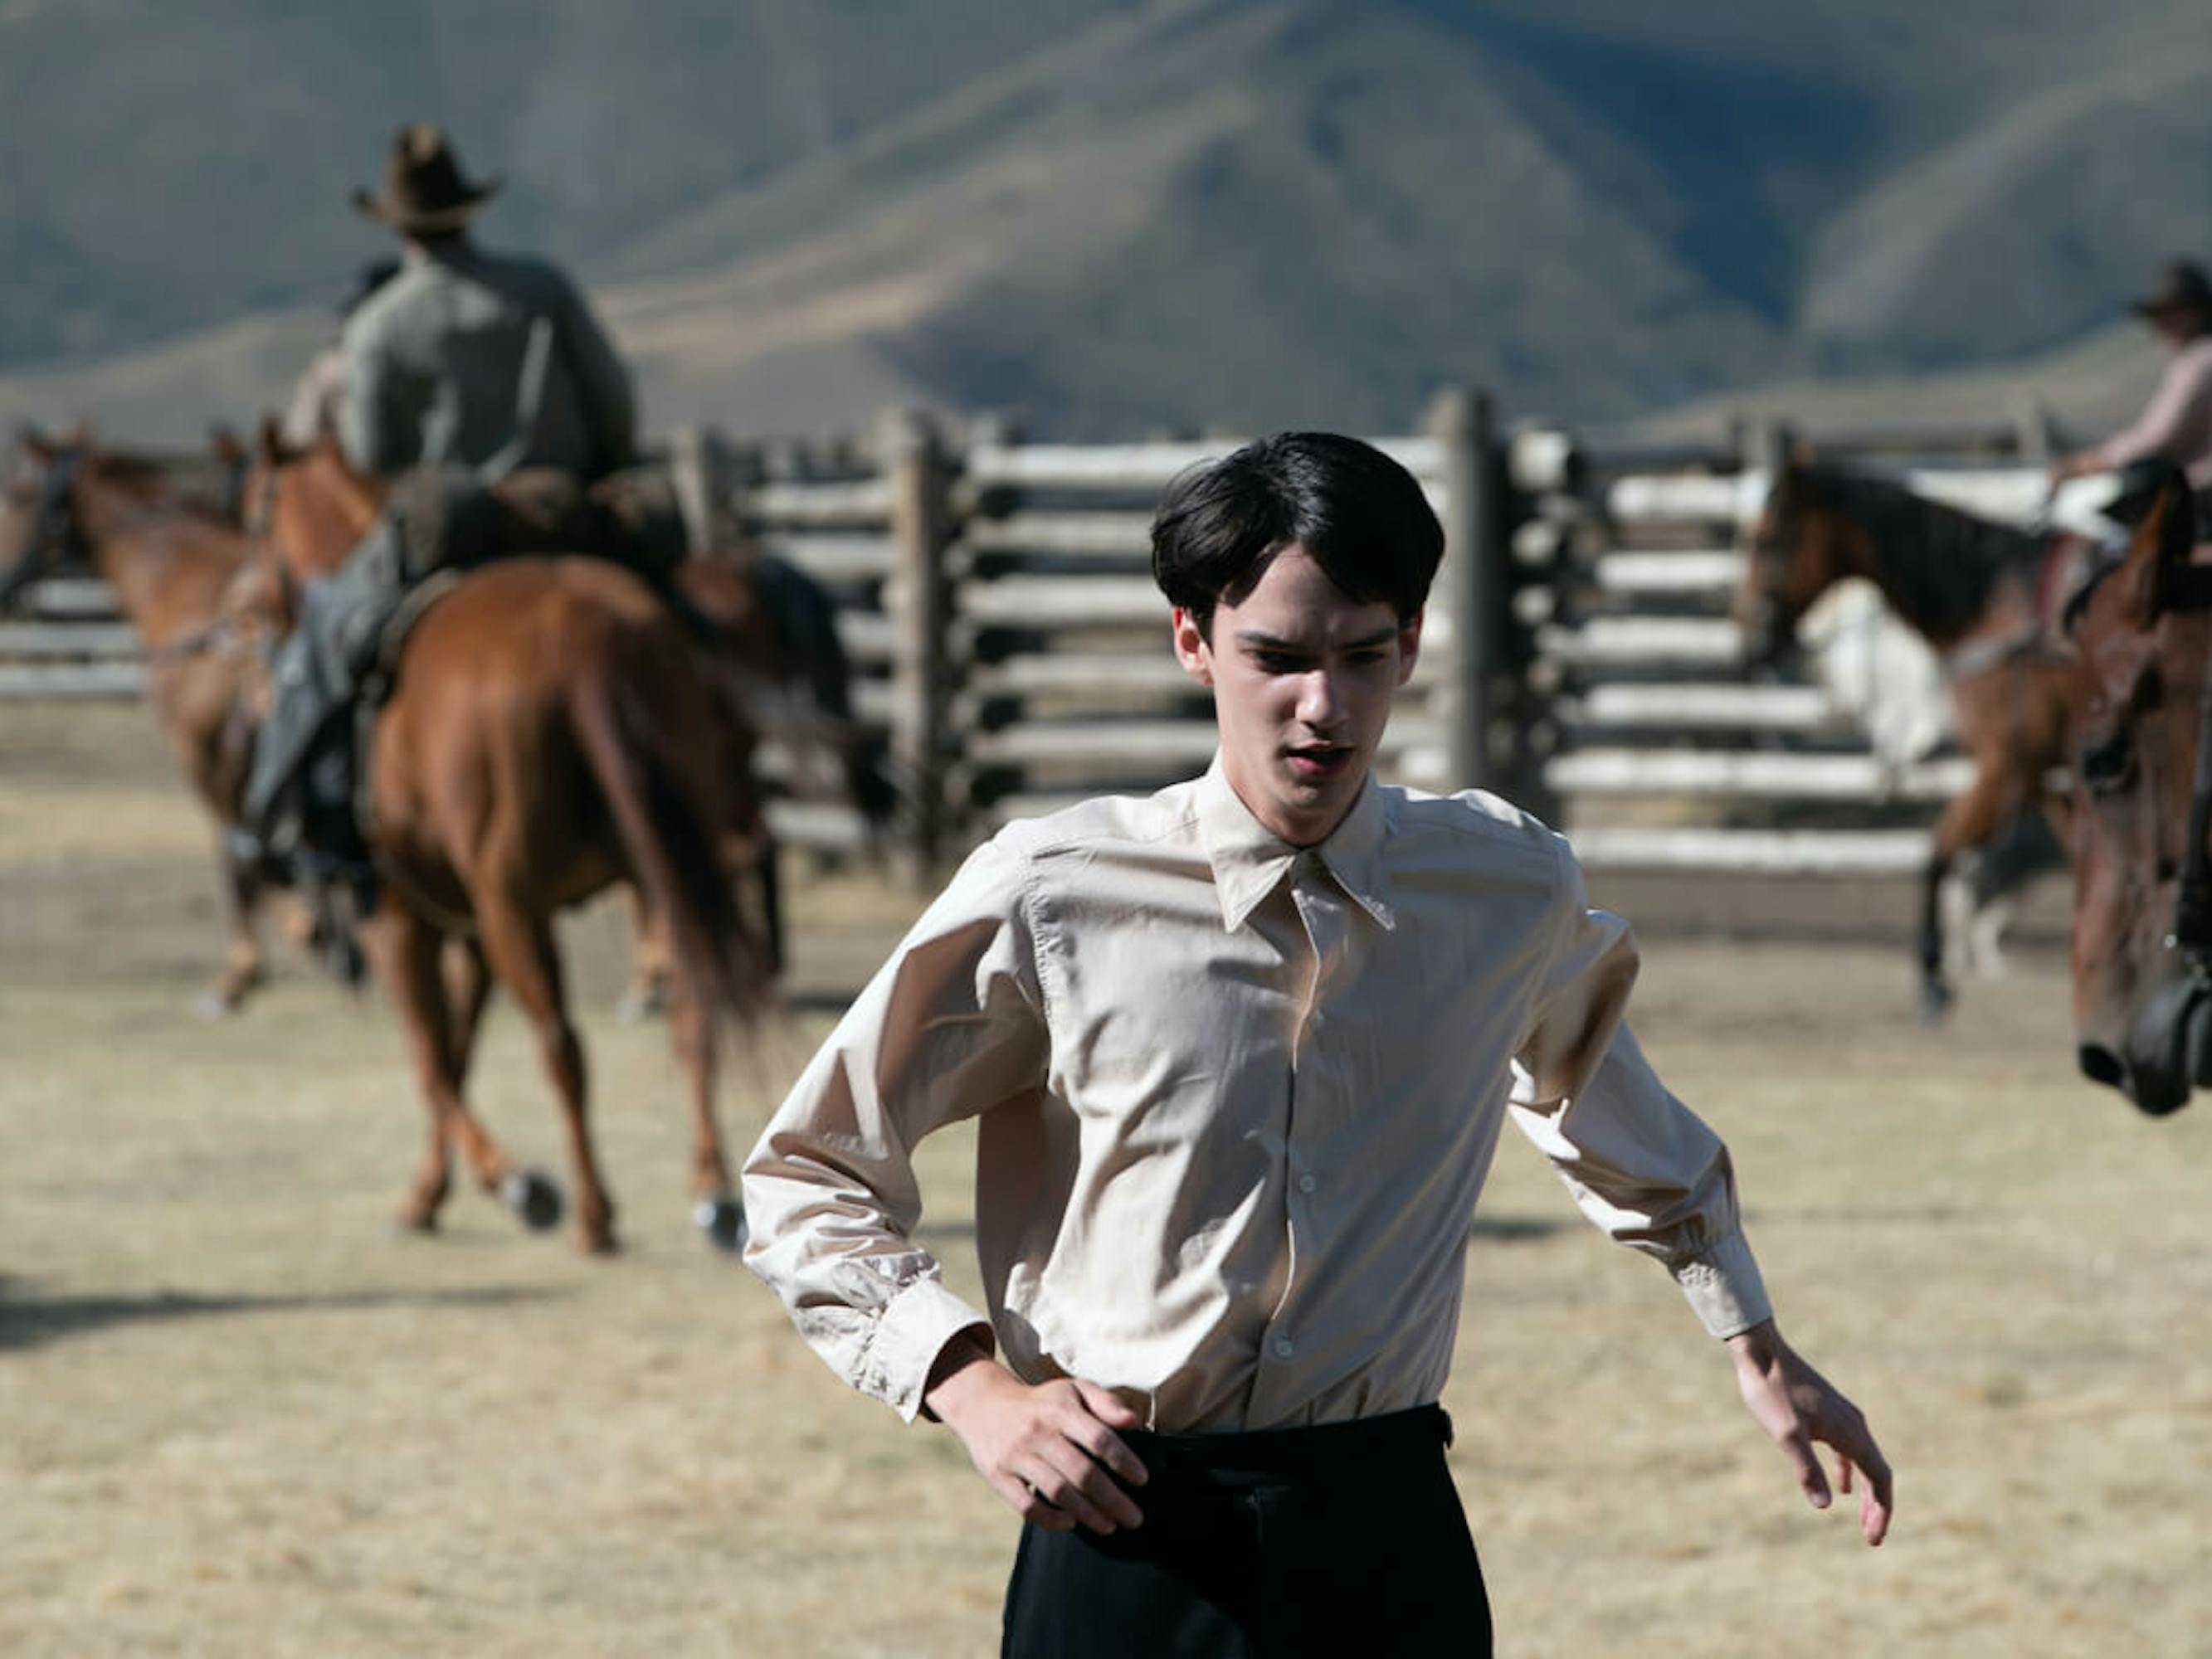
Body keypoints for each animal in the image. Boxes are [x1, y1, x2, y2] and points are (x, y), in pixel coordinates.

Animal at [0, 431, 300, 1013]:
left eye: (21, 501)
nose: (3, 590)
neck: (178, 582)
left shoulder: (206, 754)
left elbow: (236, 850)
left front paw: (244, 969)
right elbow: (251, 846)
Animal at [235, 455, 778, 1248]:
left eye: (254, 516)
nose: (244, 613)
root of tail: (594, 630)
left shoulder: (402, 919)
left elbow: (433, 1062)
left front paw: (514, 1183)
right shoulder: (471, 929)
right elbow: (458, 1052)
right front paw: (428, 1195)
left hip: (515, 907)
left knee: (561, 1045)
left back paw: (592, 1213)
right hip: (660, 880)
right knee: (691, 1014)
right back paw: (711, 1193)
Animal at [1734, 458, 2079, 1026]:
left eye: (1767, 539)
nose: (1749, 636)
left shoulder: (2010, 767)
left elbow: (1938, 851)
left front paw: (1933, 980)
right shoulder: (2036, 774)